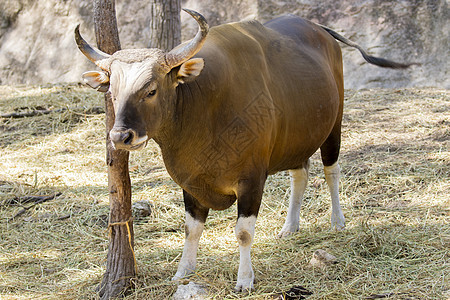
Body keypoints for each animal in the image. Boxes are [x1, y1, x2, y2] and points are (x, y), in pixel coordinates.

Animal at [75, 9, 414, 292]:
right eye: (112, 92)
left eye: (151, 90)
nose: (120, 136)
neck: (202, 107)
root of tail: (321, 30)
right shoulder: (192, 182)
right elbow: (191, 230)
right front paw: (184, 271)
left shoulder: (252, 180)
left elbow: (243, 233)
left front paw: (245, 279)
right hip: (295, 138)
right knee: (300, 174)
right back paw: (290, 226)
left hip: (334, 125)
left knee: (332, 170)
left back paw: (337, 221)